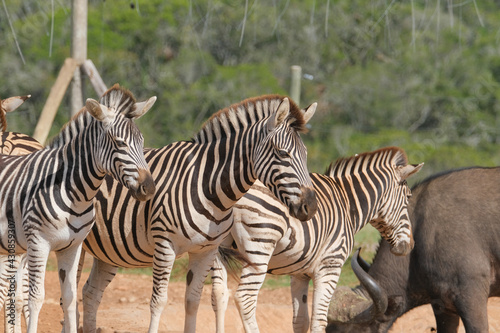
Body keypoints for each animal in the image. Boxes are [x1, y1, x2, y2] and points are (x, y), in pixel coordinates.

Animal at [0, 84, 156, 330]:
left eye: (141, 142)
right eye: (120, 143)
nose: (149, 188)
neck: (76, 192)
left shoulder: (71, 247)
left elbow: (70, 297)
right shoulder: (38, 243)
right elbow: (36, 298)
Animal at [80, 94, 318, 332]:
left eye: (306, 154)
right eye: (283, 154)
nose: (311, 206)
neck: (207, 188)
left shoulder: (206, 250)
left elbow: (193, 300)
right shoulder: (165, 245)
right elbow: (159, 301)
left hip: (110, 251)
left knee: (90, 293)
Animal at [209, 147, 424, 332]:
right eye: (408, 197)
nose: (410, 245)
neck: (347, 203)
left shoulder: (299, 273)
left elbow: (300, 320)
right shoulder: (330, 265)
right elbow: (318, 320)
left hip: (214, 246)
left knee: (219, 295)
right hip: (259, 249)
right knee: (244, 298)